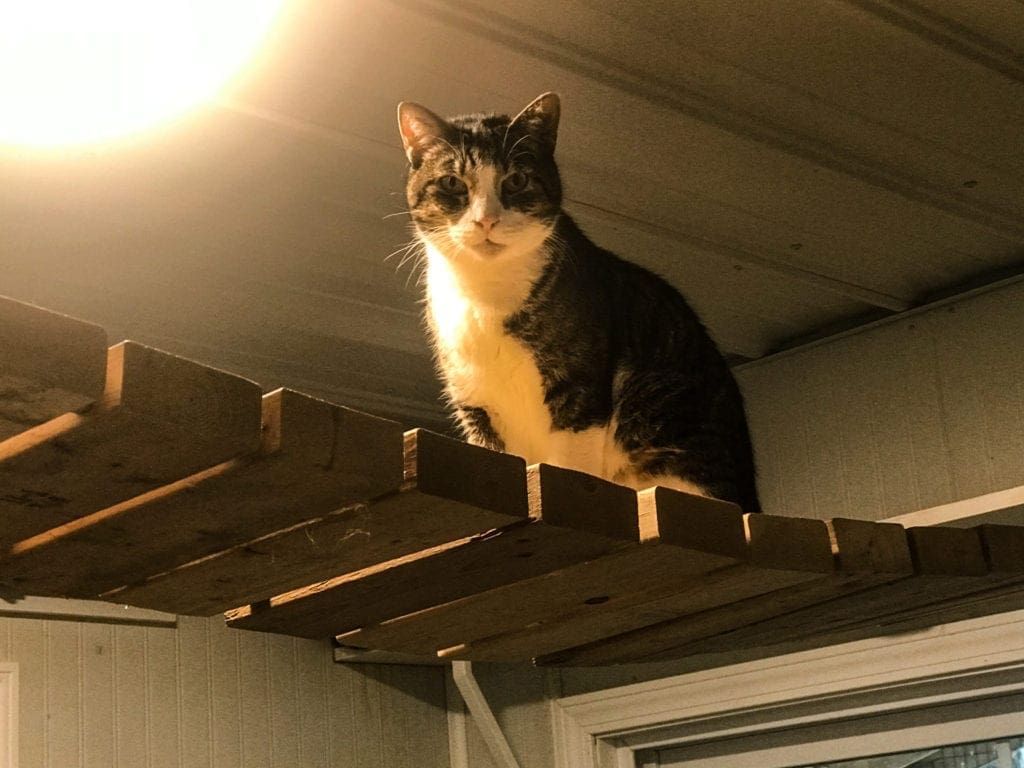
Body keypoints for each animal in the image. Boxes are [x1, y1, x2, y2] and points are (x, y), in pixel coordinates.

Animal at [393, 91, 761, 512]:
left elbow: (571, 465)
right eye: (452, 182)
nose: (486, 220)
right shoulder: (477, 406)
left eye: (516, 180)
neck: (485, 290)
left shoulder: (579, 388)